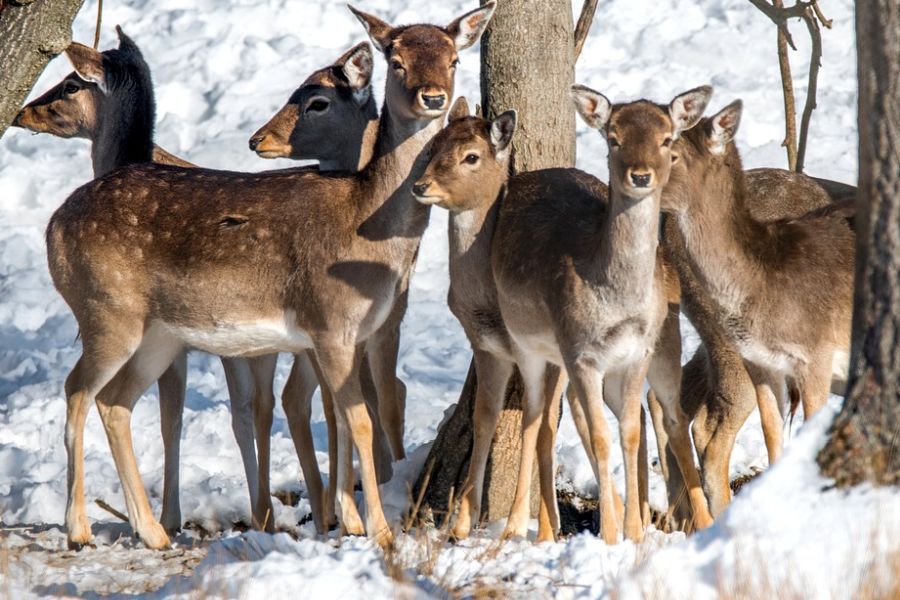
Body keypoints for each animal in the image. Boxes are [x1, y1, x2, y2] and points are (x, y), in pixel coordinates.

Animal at [47, 3, 500, 548]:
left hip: (158, 334)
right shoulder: (330, 323)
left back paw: (153, 531)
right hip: (105, 308)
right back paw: (80, 528)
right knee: (77, 390)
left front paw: (347, 521)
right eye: (397, 61)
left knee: (115, 403)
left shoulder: (354, 334)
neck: (366, 223)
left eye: (454, 59)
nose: (433, 97)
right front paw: (378, 531)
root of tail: (53, 227)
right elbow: (358, 420)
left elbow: (343, 417)